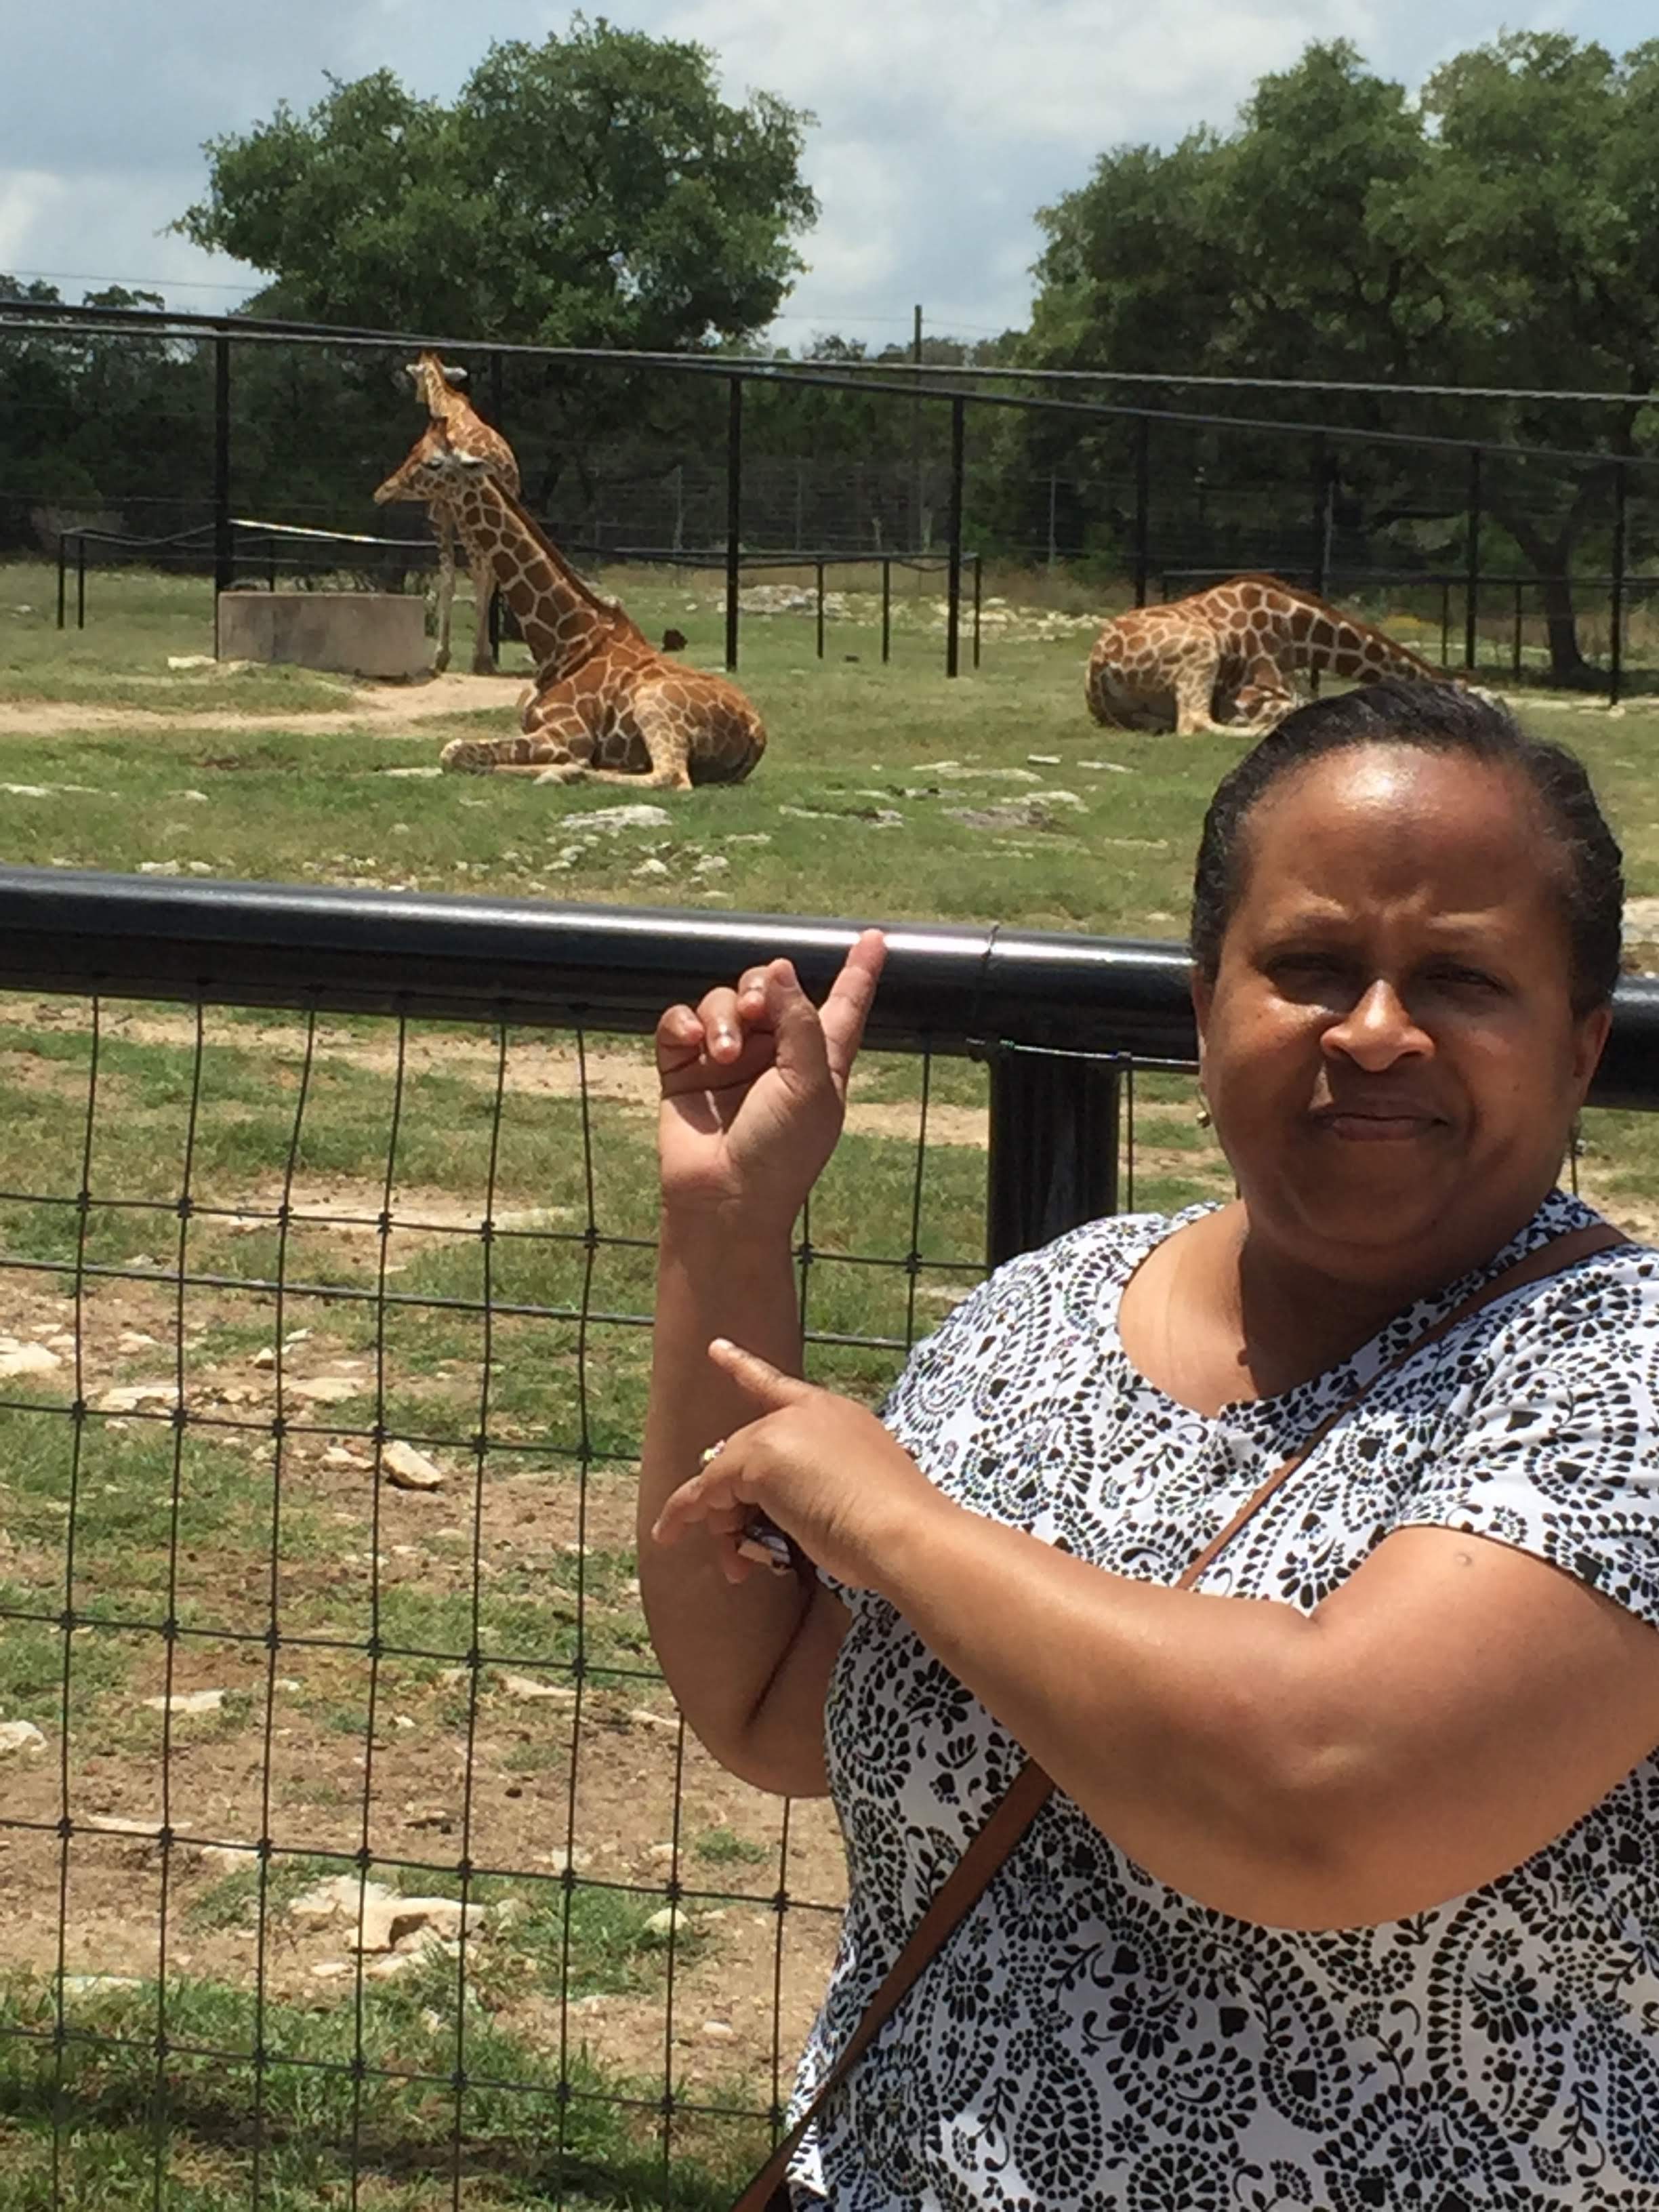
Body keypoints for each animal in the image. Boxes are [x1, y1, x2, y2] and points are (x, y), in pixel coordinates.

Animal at [374, 352, 521, 678]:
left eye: (414, 374)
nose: (417, 394)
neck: (449, 406)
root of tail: (502, 466)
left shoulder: (439, 511)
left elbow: (447, 577)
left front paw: (441, 655)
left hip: (468, 519)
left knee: (481, 572)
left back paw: (479, 658)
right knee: (494, 574)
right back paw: (486, 656)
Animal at [376, 428, 766, 788]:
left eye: (433, 463)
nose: (383, 489)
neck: (563, 640)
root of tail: (757, 731)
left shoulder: (566, 733)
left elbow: (455, 751)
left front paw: (559, 767)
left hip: (655, 705)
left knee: (670, 778)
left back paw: (563, 772)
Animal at [1086, 575, 1454, 737]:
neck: (1296, 633)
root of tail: (1099, 664)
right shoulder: (1251, 689)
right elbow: (1299, 703)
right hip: (1202, 649)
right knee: (1193, 723)